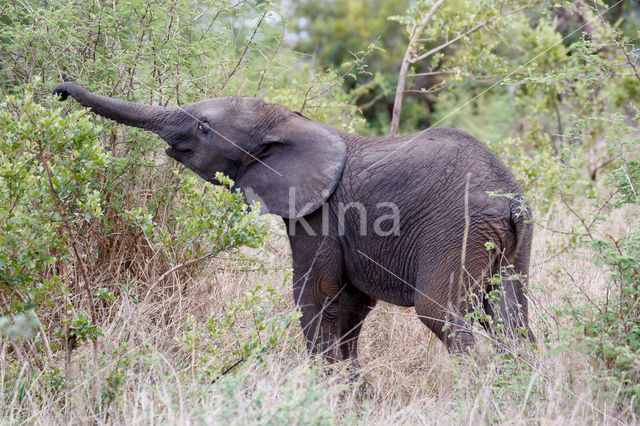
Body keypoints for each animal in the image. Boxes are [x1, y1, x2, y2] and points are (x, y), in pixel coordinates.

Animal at [52, 81, 536, 364]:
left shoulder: (320, 215)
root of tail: (510, 200)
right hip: (514, 240)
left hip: (457, 229)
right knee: (511, 321)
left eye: (205, 127)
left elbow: (318, 299)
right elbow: (350, 308)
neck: (293, 124)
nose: (59, 89)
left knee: (443, 315)